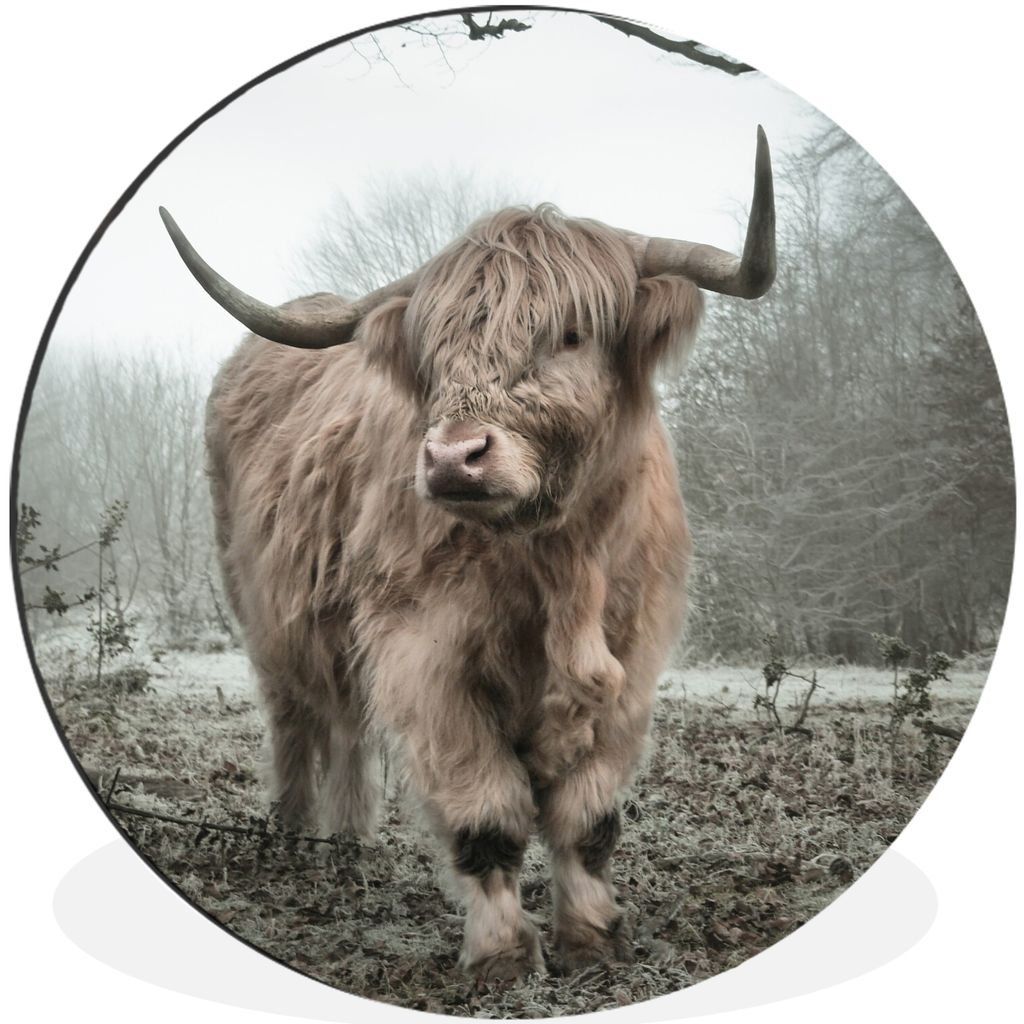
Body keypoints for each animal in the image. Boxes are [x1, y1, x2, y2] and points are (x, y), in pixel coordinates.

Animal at [159, 127, 775, 981]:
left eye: (571, 334)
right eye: (436, 351)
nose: (454, 458)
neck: (558, 564)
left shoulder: (632, 661)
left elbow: (589, 819)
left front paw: (593, 939)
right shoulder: (426, 658)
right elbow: (487, 815)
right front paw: (503, 957)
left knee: (345, 726)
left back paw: (348, 843)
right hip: (264, 614)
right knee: (296, 720)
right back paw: (294, 837)